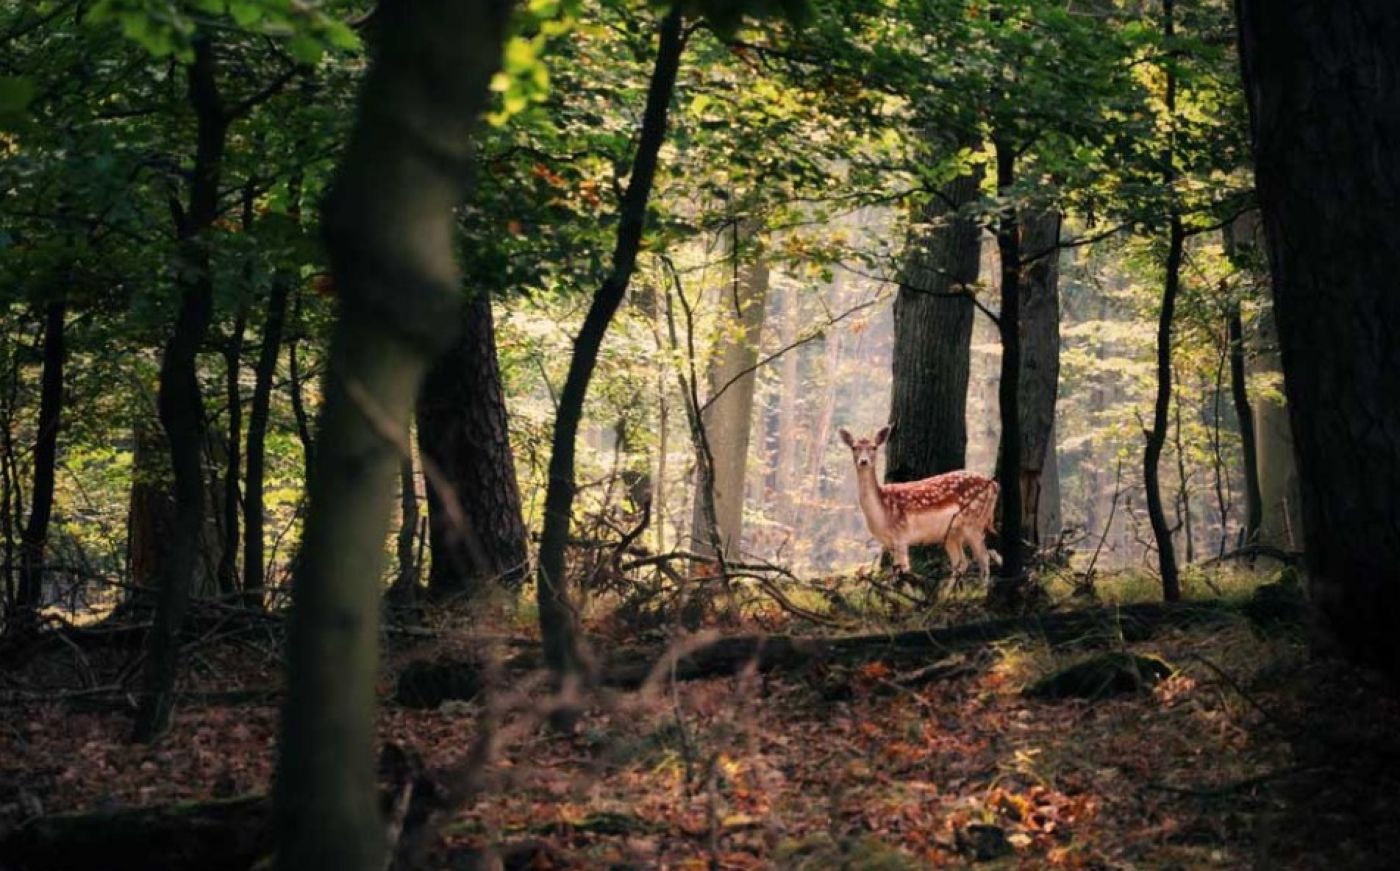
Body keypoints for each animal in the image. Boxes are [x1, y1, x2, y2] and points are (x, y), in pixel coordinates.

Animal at [834, 425, 1002, 588]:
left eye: (874, 447)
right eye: (854, 447)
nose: (863, 461)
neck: (882, 513)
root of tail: (994, 486)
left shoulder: (901, 535)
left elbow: (904, 572)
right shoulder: (889, 543)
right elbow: (896, 574)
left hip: (974, 522)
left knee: (984, 558)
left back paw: (981, 590)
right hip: (953, 534)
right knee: (961, 563)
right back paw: (946, 596)